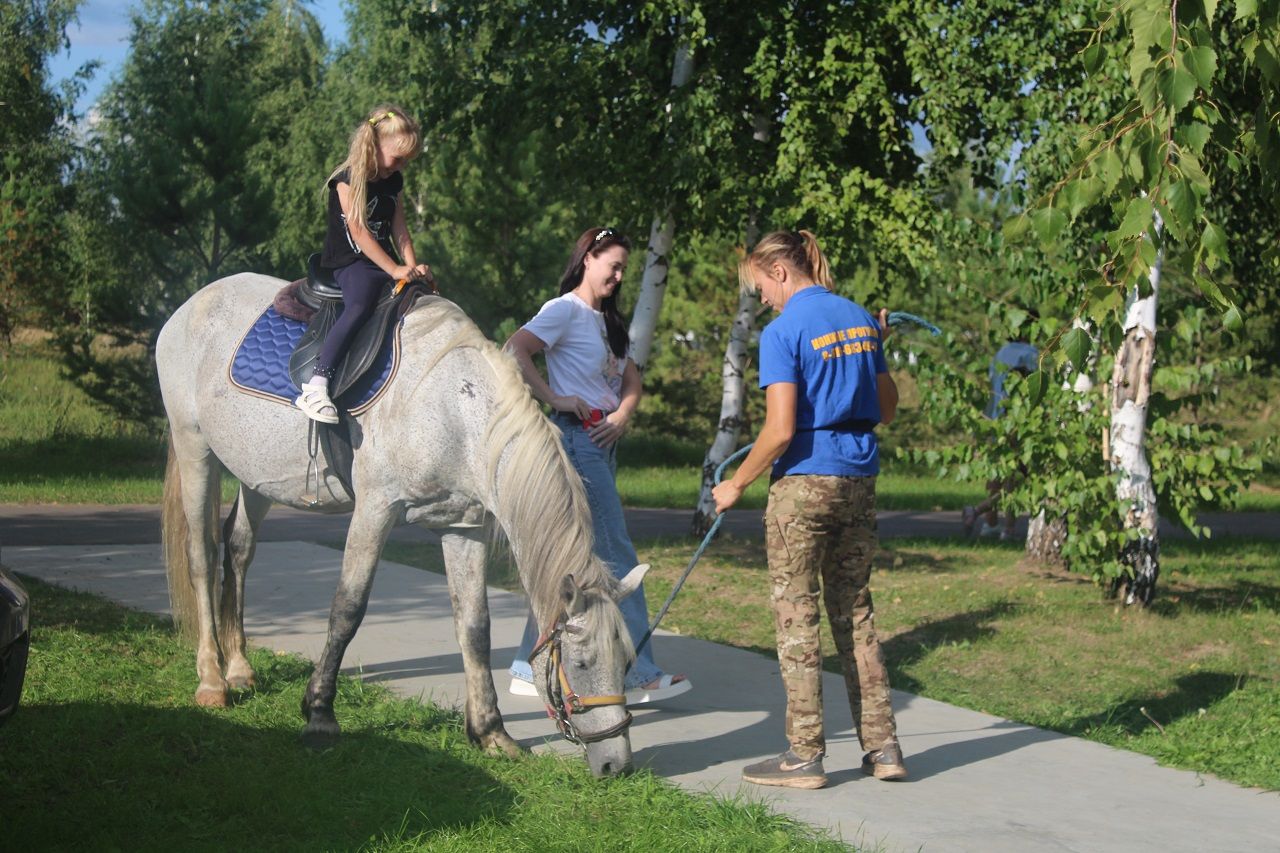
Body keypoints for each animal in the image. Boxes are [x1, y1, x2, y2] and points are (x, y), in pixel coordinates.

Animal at [156, 270, 645, 768]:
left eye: (626, 663)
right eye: (581, 664)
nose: (617, 763)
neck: (453, 411)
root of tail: (194, 302)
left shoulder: (462, 527)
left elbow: (475, 626)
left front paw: (490, 731)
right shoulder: (374, 510)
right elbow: (347, 609)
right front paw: (319, 713)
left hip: (256, 476)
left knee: (238, 550)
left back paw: (239, 669)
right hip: (196, 448)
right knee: (201, 556)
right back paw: (212, 680)